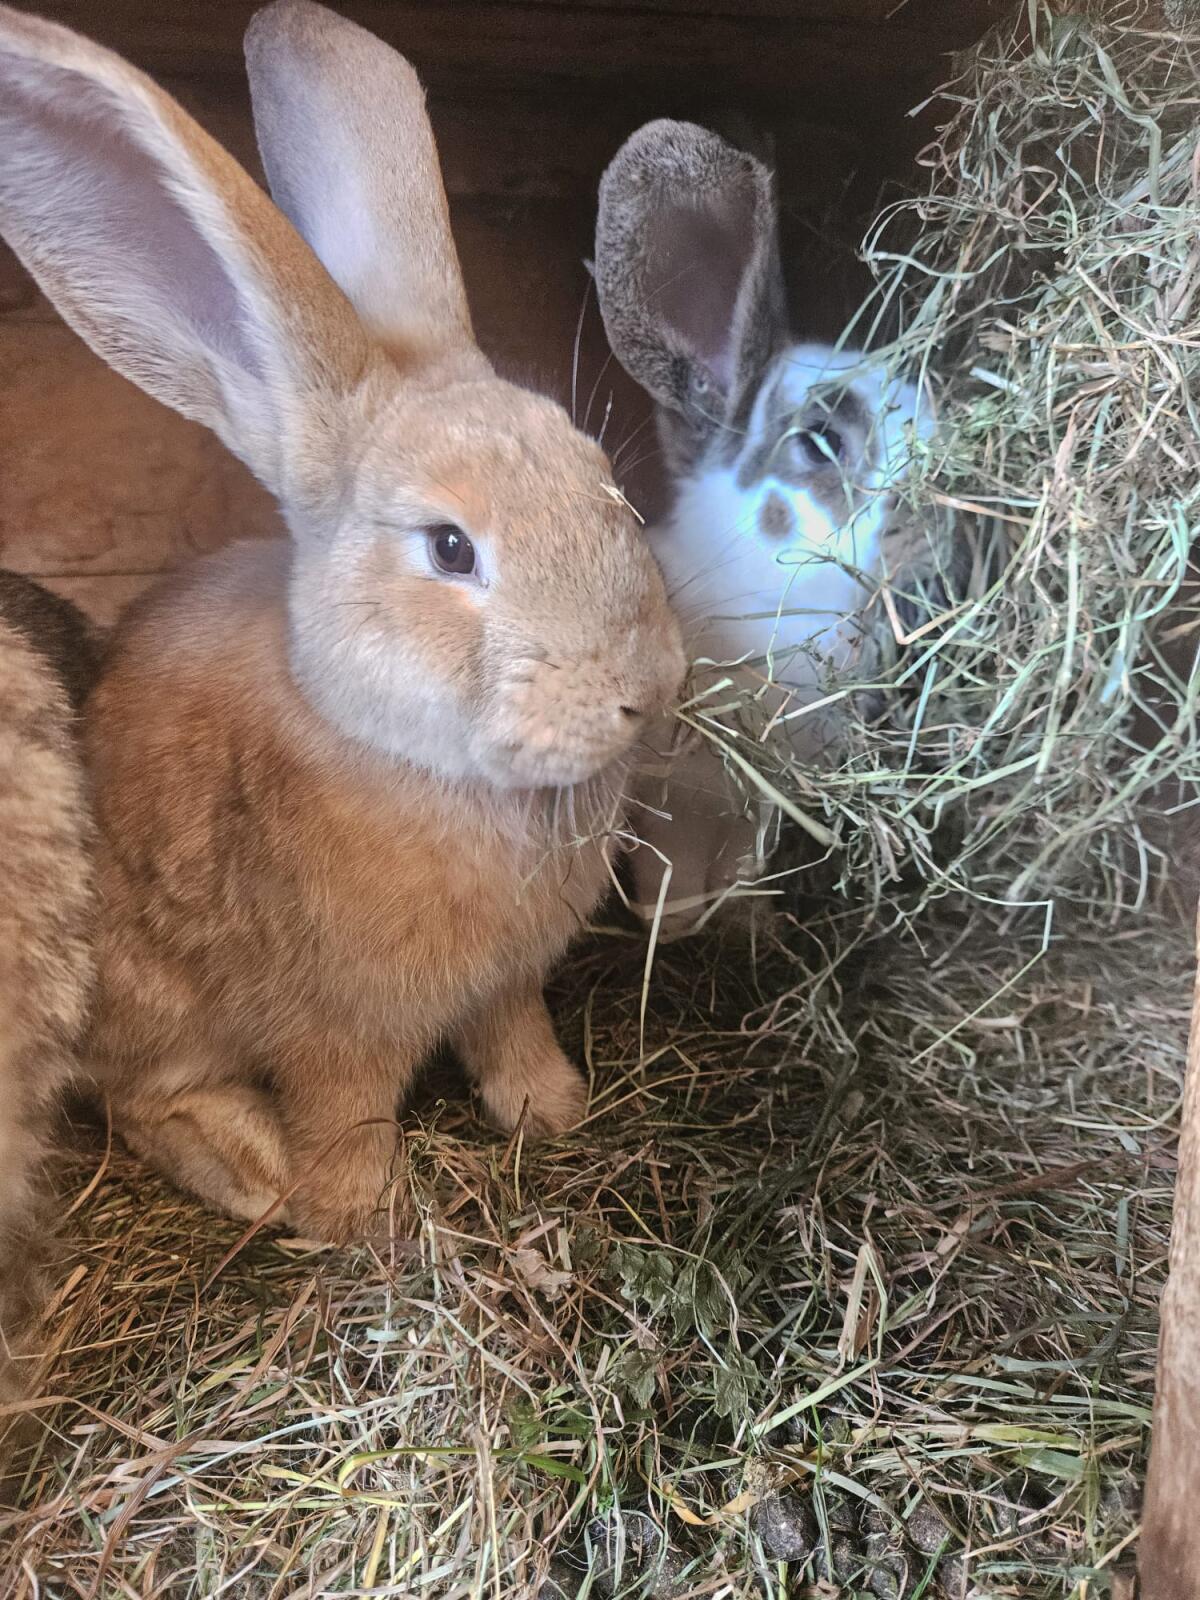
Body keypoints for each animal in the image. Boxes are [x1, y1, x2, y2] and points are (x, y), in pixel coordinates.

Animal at [0, 0, 684, 1245]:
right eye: (451, 548)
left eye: (604, 476)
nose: (643, 689)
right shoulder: (334, 1025)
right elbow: (345, 1105)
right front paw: (359, 1215)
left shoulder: (508, 984)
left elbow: (515, 1034)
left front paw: (552, 1112)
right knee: (138, 1093)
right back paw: (248, 1165)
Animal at [593, 120, 930, 934]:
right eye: (822, 441)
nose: (929, 521)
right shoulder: (674, 802)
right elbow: (671, 874)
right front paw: (676, 926)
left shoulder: (759, 810)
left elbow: (742, 867)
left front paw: (751, 925)